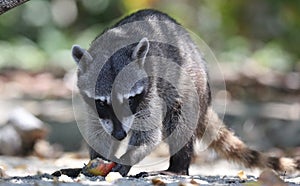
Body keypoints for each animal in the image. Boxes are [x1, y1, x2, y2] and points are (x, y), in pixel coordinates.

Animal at [71, 9, 298, 177]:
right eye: (103, 102)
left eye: (130, 99)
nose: (120, 135)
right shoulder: (92, 106)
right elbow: (96, 130)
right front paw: (98, 157)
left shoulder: (150, 90)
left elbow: (149, 135)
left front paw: (128, 159)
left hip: (191, 86)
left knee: (180, 122)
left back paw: (177, 168)